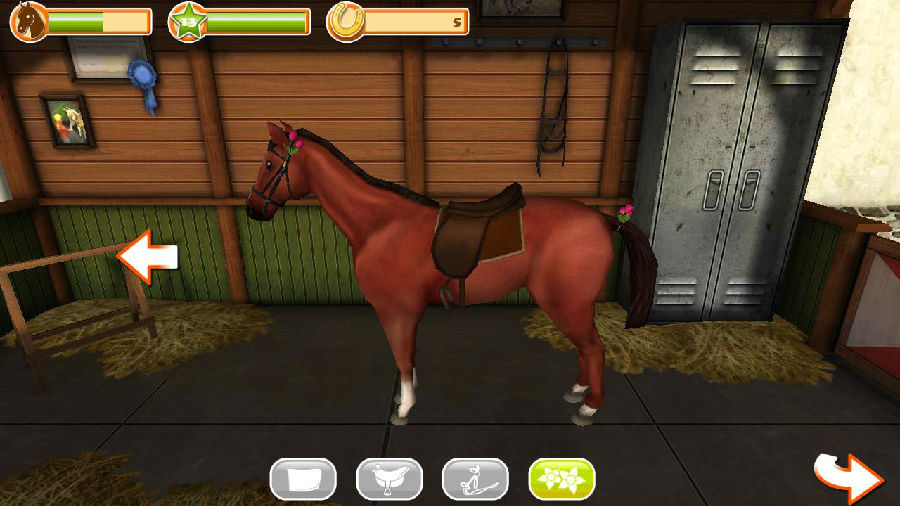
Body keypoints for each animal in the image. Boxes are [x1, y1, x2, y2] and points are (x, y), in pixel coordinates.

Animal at [246, 122, 658, 426]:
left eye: (268, 164)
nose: (252, 209)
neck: (381, 224)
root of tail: (604, 220)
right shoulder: (406, 312)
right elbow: (408, 356)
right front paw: (406, 396)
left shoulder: (395, 310)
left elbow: (402, 357)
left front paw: (403, 409)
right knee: (586, 349)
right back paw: (577, 391)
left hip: (566, 303)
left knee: (593, 348)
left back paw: (588, 407)